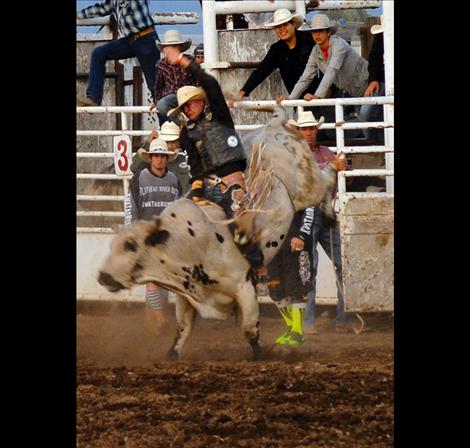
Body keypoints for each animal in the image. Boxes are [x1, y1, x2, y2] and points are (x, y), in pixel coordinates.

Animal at [97, 110, 338, 358]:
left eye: (131, 245)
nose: (102, 277)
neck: (189, 243)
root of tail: (274, 124)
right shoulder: (186, 298)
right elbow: (181, 330)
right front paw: (170, 354)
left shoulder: (244, 288)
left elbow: (250, 330)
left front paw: (261, 355)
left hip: (307, 185)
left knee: (326, 180)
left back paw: (332, 192)